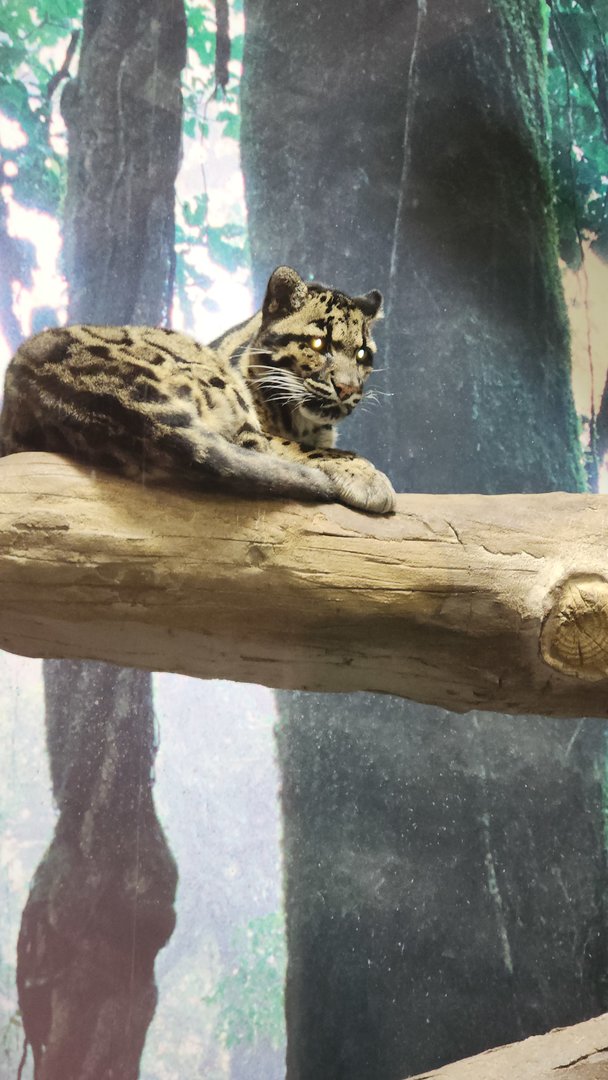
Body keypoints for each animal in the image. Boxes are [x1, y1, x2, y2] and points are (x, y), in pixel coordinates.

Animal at [0, 266, 396, 514]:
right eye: (317, 344)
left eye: (362, 354)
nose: (348, 387)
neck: (307, 422)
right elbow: (303, 449)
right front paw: (368, 475)